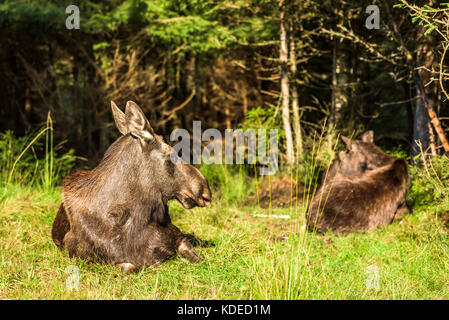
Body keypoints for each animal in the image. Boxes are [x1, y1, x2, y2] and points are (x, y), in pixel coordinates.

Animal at [51, 100, 211, 272]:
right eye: (172, 155)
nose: (205, 190)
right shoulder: (89, 260)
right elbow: (131, 266)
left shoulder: (177, 236)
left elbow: (195, 255)